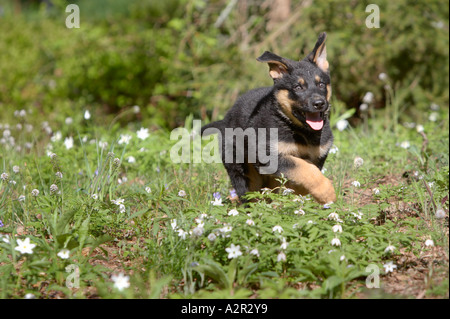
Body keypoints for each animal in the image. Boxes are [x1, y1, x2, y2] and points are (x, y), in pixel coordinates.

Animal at [202, 32, 336, 205]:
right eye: (298, 87)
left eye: (321, 85)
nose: (319, 103)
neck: (298, 129)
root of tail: (225, 120)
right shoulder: (269, 155)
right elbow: (304, 168)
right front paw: (326, 192)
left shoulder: (318, 155)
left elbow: (302, 179)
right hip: (242, 169)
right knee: (248, 194)